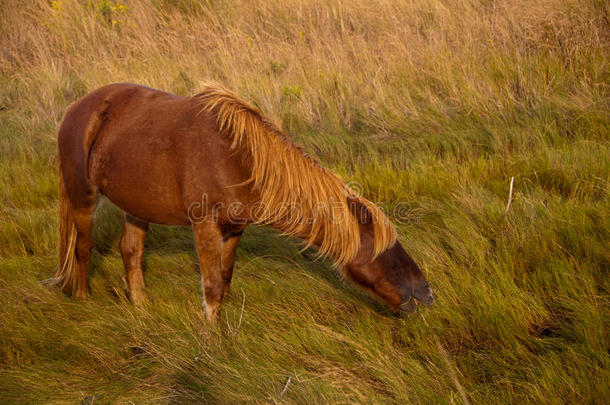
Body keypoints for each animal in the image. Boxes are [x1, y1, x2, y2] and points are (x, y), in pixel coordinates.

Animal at [51, 82, 432, 320]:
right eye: (386, 249)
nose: (427, 293)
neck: (239, 158)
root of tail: (77, 106)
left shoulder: (234, 229)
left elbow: (225, 277)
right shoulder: (204, 225)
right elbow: (211, 285)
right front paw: (212, 340)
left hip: (137, 206)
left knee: (130, 251)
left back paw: (142, 307)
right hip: (82, 197)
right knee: (82, 247)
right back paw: (82, 299)